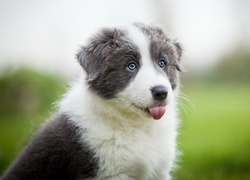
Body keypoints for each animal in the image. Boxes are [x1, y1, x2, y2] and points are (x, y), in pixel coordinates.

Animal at [0, 22, 183, 180]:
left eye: (162, 63)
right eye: (131, 66)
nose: (161, 92)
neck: (137, 126)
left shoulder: (160, 170)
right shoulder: (111, 173)